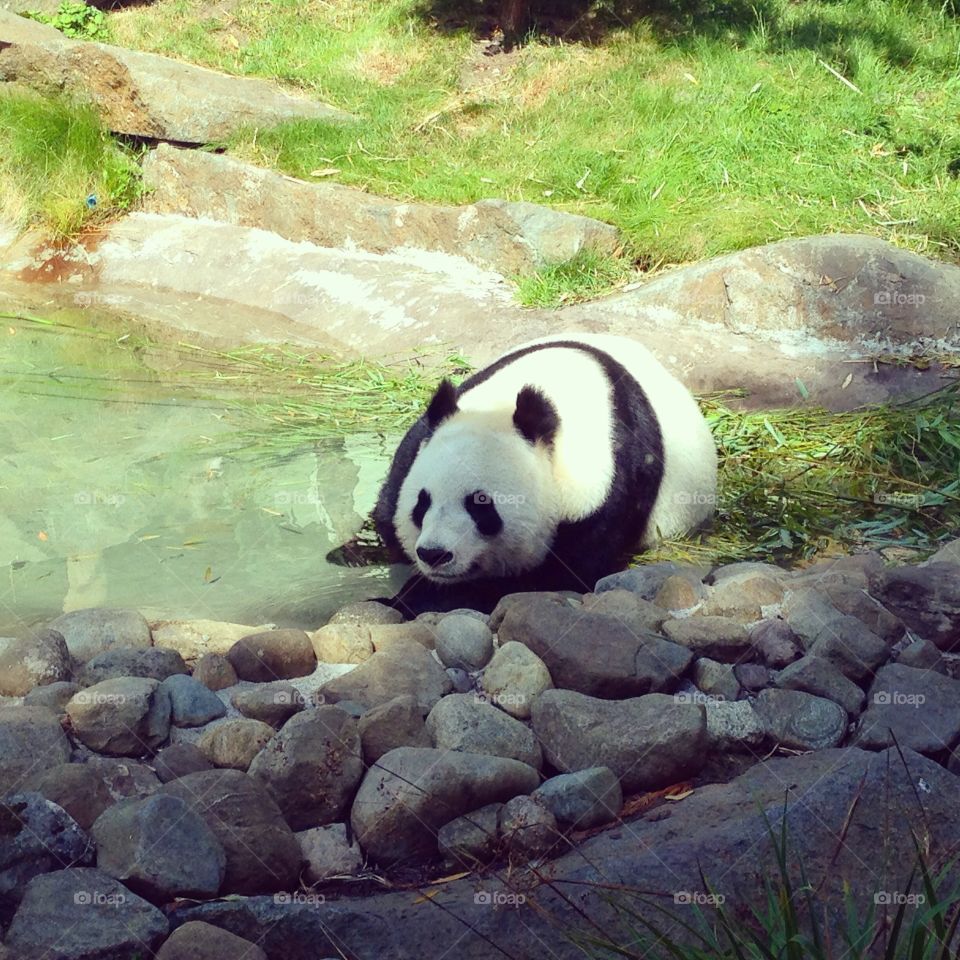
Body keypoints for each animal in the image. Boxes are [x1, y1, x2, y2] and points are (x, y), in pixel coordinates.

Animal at [372, 334, 716, 620]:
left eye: (480, 503)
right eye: (422, 502)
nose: (434, 554)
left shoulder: (606, 483)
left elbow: (558, 573)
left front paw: (418, 599)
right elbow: (387, 513)